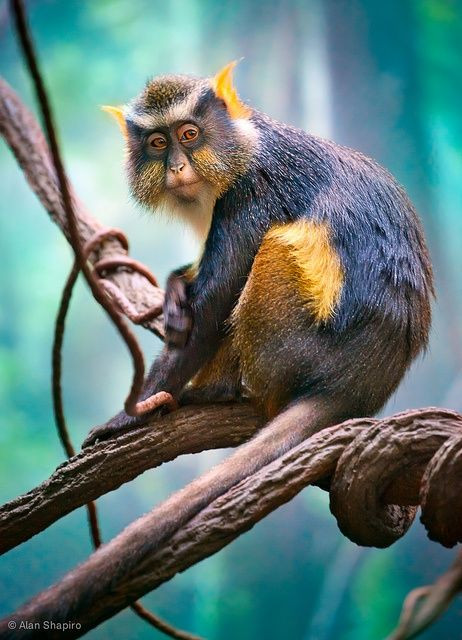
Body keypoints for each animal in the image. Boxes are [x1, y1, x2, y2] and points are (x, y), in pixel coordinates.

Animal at [83, 61, 433, 527]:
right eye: (158, 143)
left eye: (189, 134)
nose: (176, 166)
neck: (243, 146)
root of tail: (357, 387)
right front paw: (176, 287)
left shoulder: (252, 193)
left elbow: (213, 307)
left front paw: (126, 417)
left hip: (291, 352)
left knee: (275, 247)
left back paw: (215, 392)